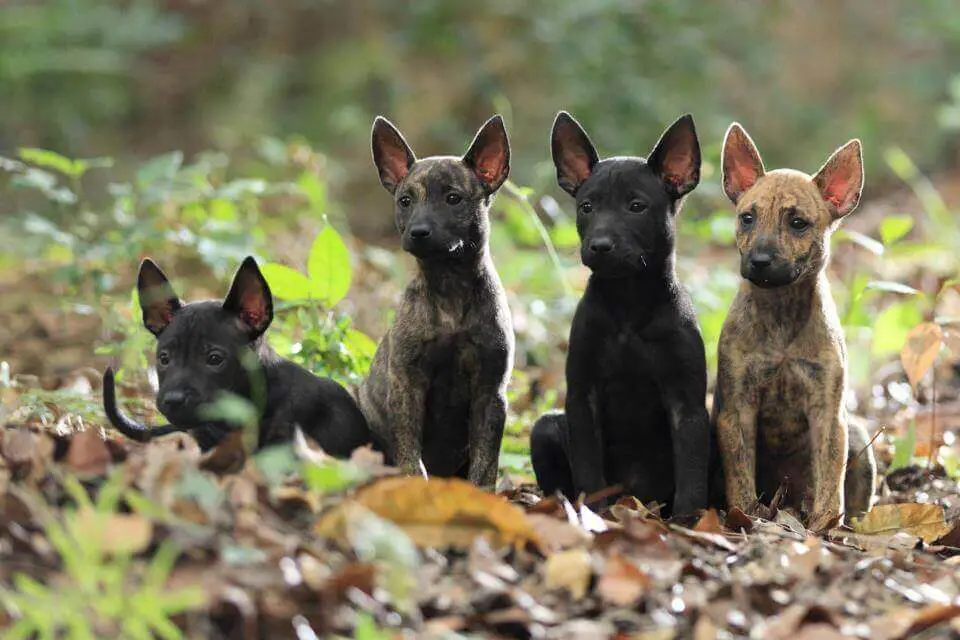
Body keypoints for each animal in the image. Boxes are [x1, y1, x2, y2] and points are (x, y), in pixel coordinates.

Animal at [532, 114, 712, 516]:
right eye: (586, 207)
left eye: (636, 206)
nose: (599, 245)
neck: (628, 305)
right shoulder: (582, 397)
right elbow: (589, 471)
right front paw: (595, 516)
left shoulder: (688, 405)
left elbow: (693, 475)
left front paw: (688, 522)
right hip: (545, 429)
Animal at [712, 122, 876, 528]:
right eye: (747, 218)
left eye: (798, 223)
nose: (759, 260)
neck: (781, 315)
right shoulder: (737, 409)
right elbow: (741, 476)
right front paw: (747, 517)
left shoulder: (828, 414)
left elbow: (830, 483)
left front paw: (822, 526)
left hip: (857, 436)